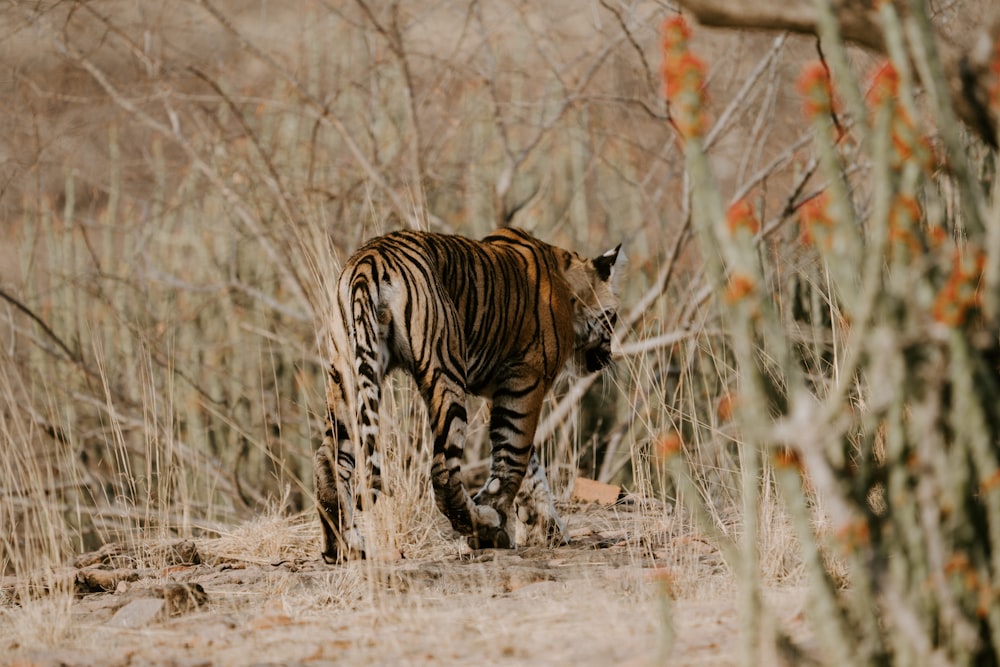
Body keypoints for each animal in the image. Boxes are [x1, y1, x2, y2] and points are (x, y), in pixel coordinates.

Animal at [316, 227, 620, 560]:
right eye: (614, 318)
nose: (610, 354)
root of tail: (369, 260)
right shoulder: (525, 379)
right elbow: (514, 458)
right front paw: (501, 519)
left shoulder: (499, 392)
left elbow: (529, 465)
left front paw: (545, 526)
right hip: (445, 371)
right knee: (443, 473)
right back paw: (484, 526)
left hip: (346, 375)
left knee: (328, 461)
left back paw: (344, 546)